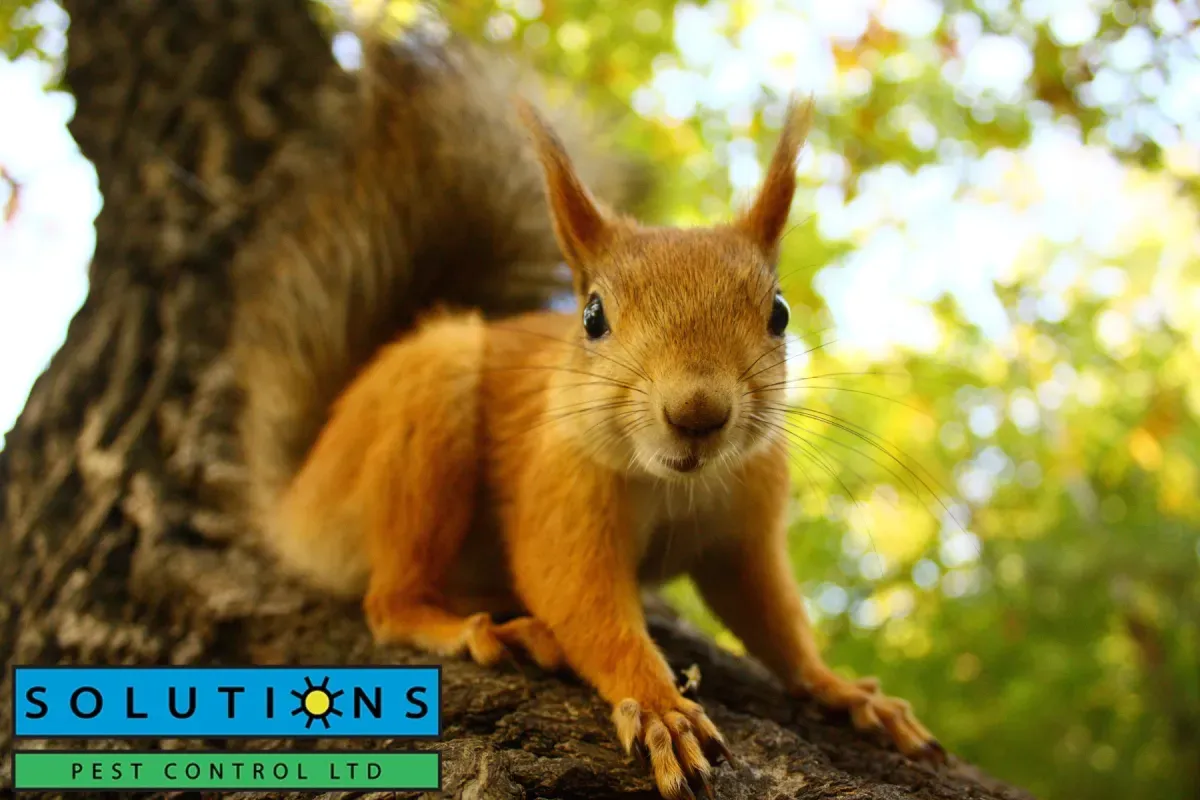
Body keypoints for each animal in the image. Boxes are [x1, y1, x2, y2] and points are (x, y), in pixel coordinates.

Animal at [233, 27, 944, 800]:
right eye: (593, 317)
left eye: (779, 313)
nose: (697, 413)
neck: (674, 483)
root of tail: (296, 502)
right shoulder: (559, 492)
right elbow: (581, 598)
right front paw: (662, 707)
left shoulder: (745, 528)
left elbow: (772, 618)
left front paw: (844, 690)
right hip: (423, 415)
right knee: (390, 603)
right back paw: (485, 630)